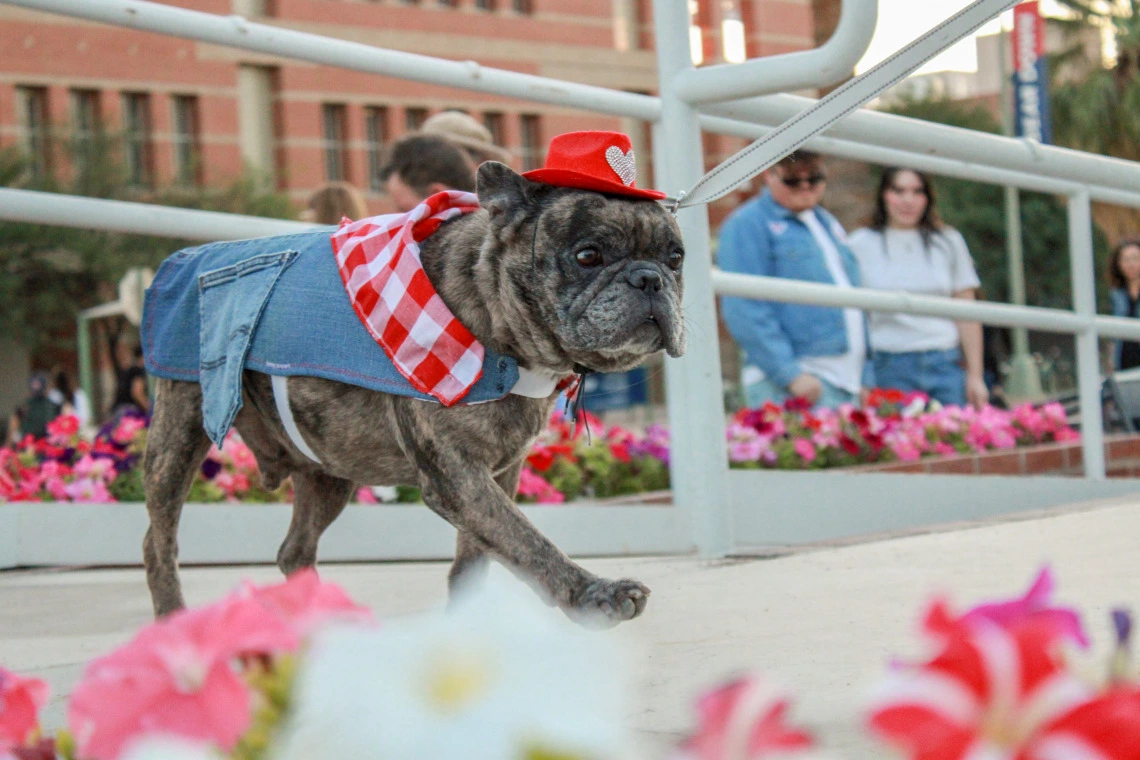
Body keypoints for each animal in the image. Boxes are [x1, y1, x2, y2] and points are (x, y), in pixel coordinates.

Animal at [147, 159, 688, 624]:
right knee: (159, 545)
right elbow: (526, 539)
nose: (649, 278)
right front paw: (592, 594)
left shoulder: (498, 473)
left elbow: (480, 553)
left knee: (294, 550)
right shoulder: (457, 475)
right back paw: (173, 618)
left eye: (676, 258)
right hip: (177, 438)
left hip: (329, 472)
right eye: (587, 255)